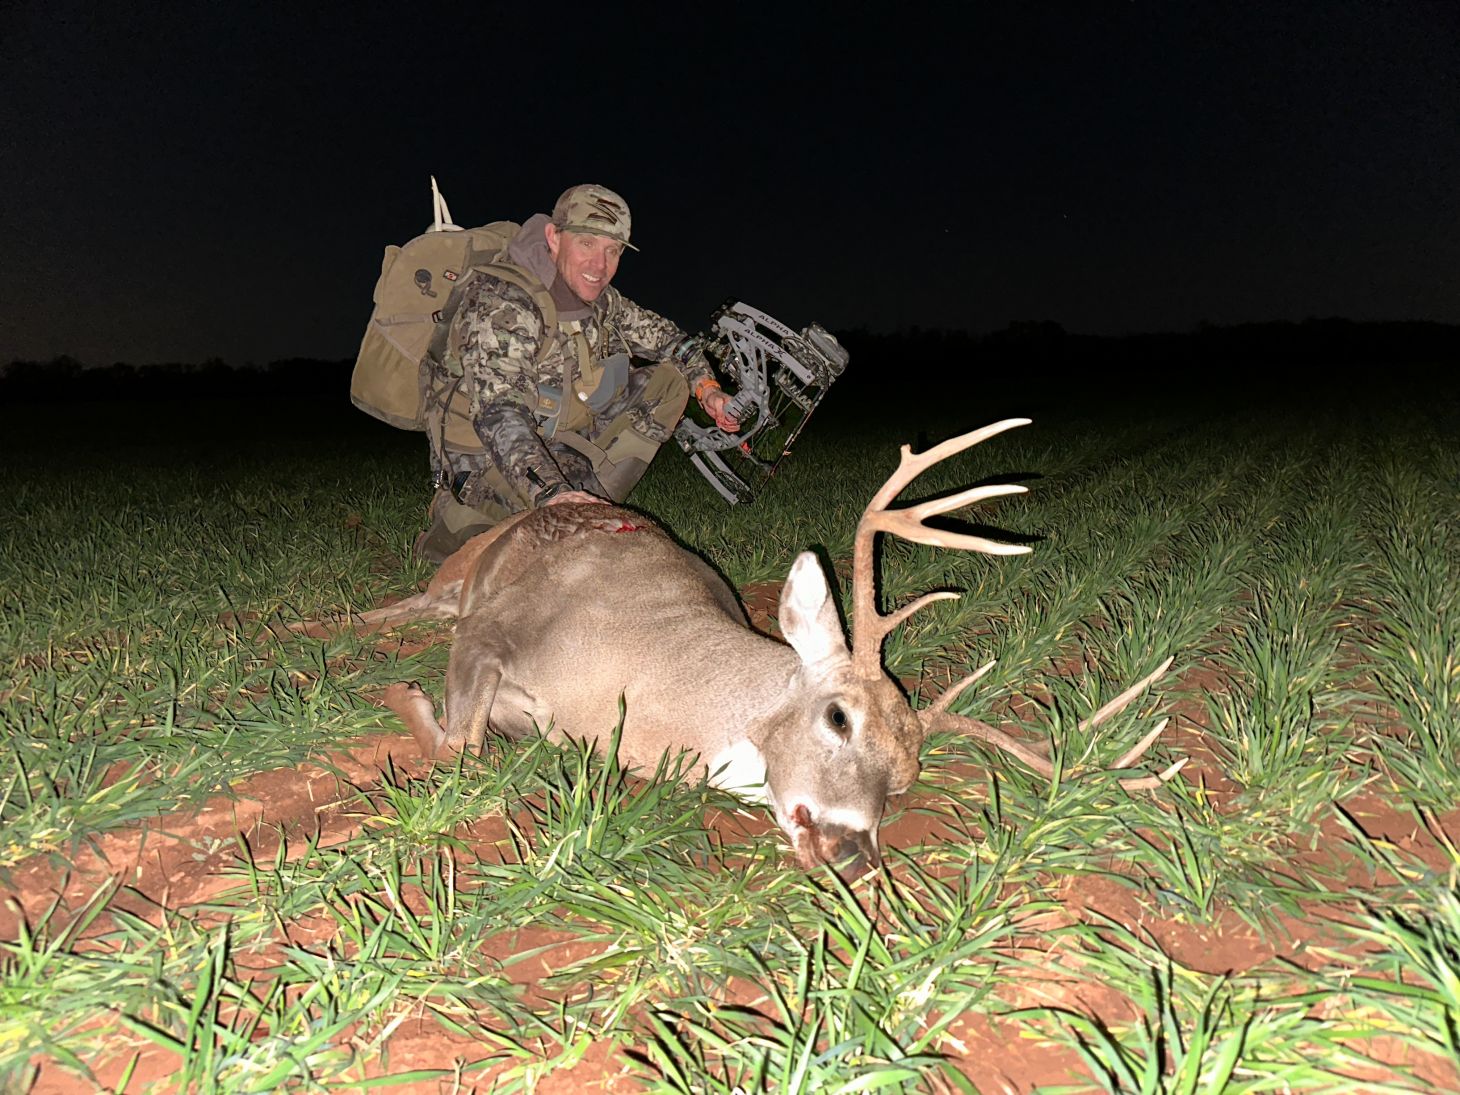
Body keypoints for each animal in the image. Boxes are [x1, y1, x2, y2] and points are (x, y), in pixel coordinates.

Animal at [337, 419, 1185, 876]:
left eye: (906, 781)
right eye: (838, 716)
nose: (853, 852)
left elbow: (481, 739)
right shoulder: (497, 626)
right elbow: (460, 745)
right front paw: (398, 691)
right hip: (464, 565)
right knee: (420, 597)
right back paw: (349, 626)